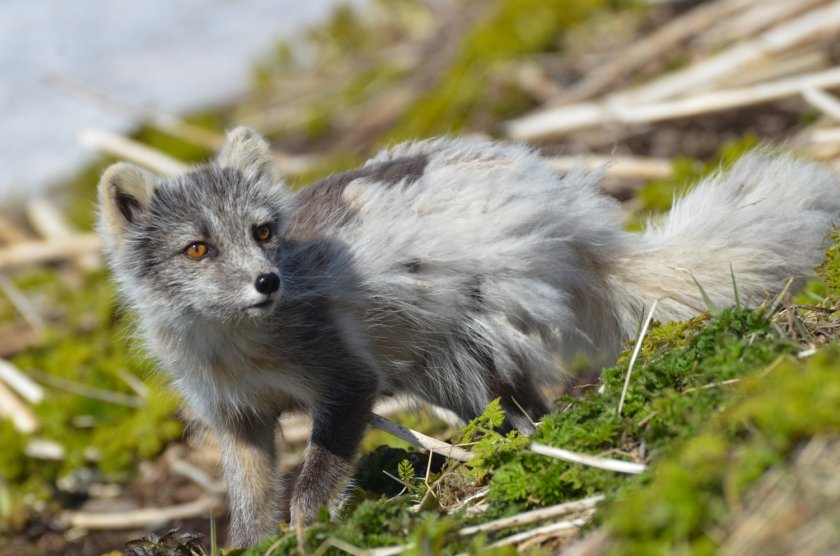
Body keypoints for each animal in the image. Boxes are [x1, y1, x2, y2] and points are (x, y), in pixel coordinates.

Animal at [98, 127, 840, 548]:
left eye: (262, 232)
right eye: (196, 249)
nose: (267, 281)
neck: (238, 347)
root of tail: (552, 196)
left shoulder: (347, 382)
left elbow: (311, 484)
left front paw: (310, 531)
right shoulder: (238, 421)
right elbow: (251, 508)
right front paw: (259, 545)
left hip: (469, 346)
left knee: (529, 407)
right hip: (448, 370)